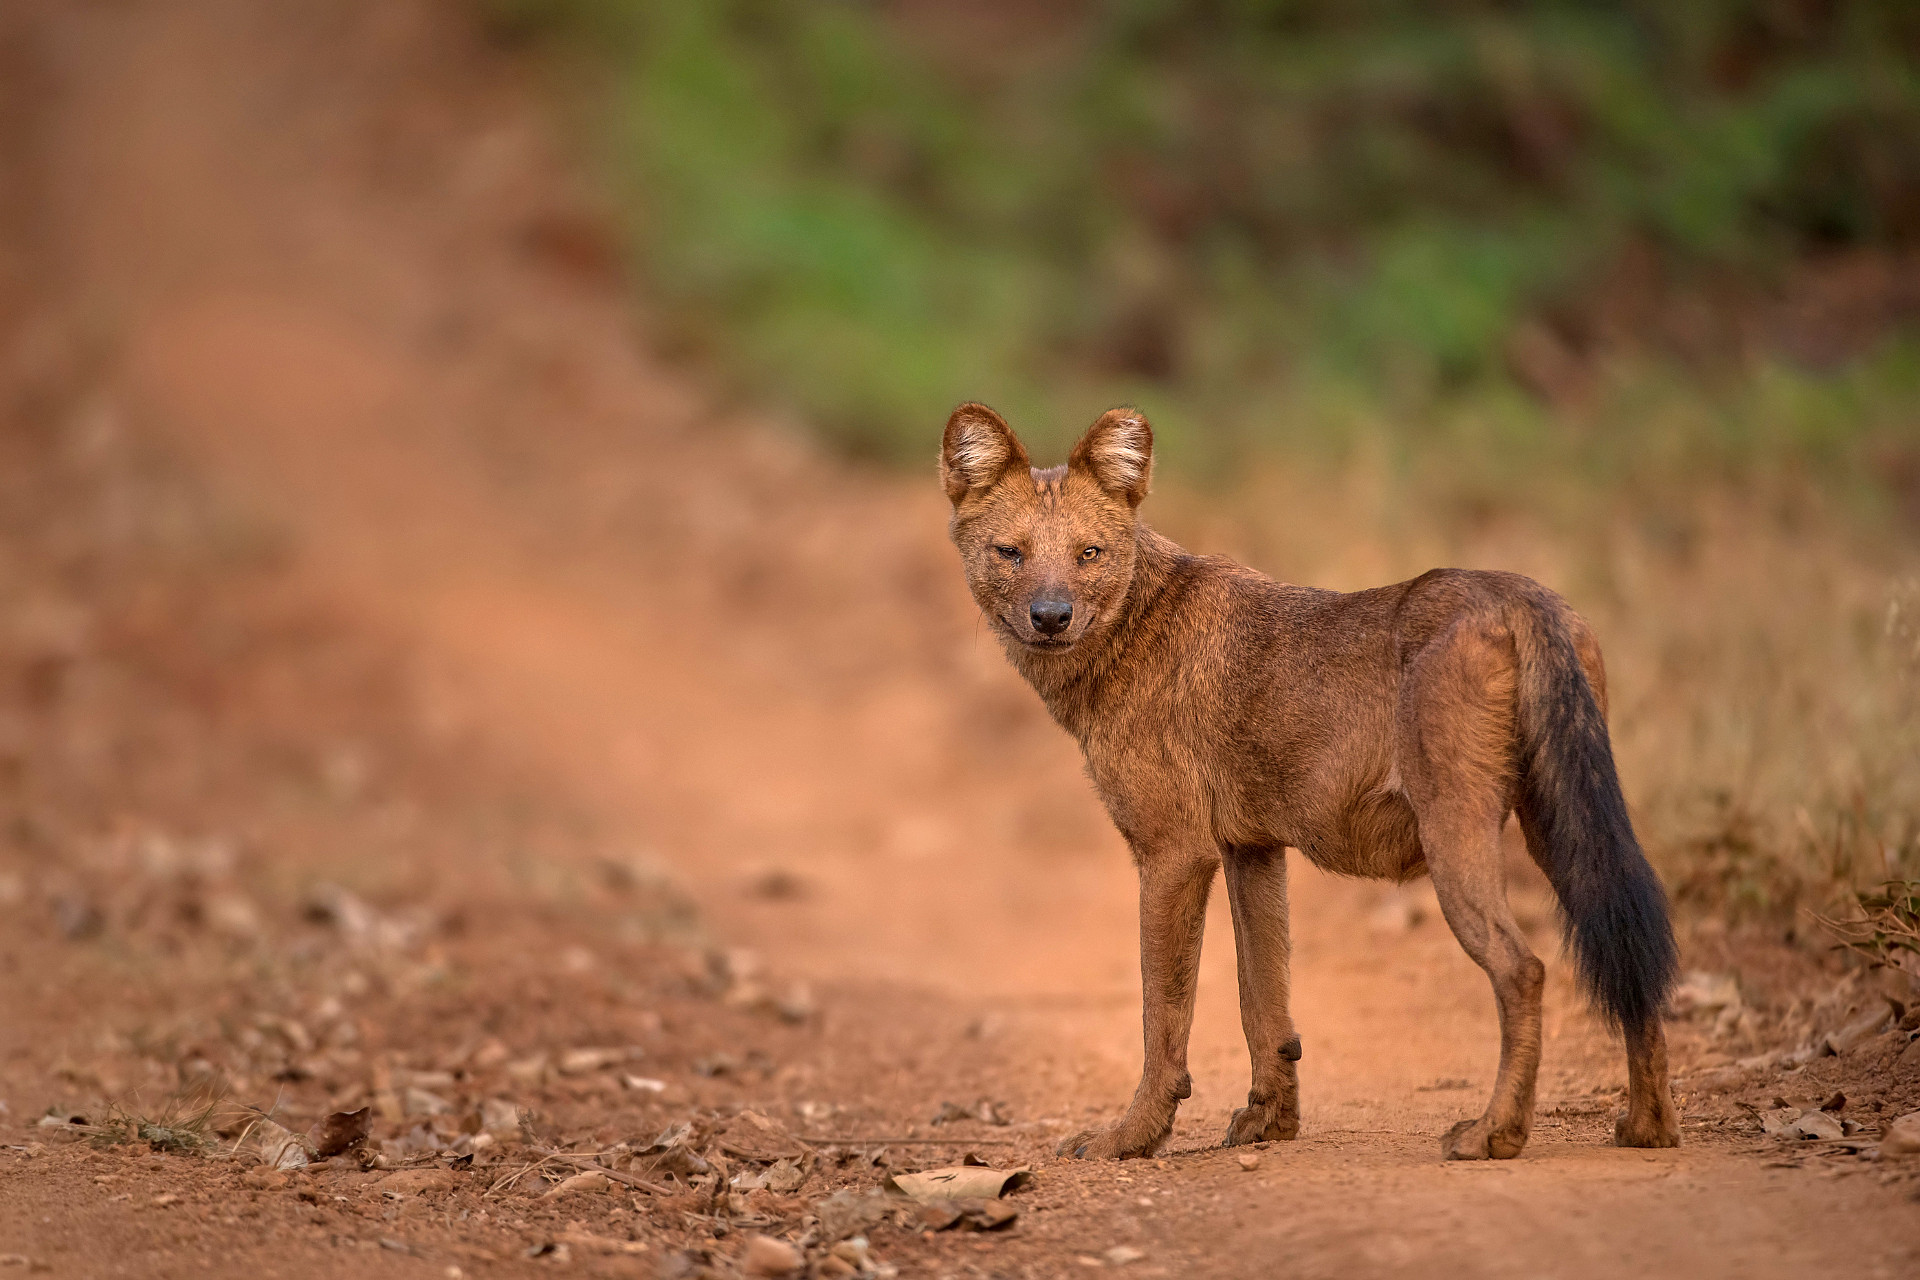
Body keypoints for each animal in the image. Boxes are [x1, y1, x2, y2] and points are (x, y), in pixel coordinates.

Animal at [944, 402, 1681, 1159]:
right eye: (1010, 553)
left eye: (1088, 554)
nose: (1050, 616)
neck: (1131, 629)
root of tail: (1521, 595)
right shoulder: (1251, 850)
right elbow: (1263, 1001)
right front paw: (1270, 1123)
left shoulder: (1175, 853)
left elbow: (1164, 1013)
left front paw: (1131, 1136)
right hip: (1560, 825)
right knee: (1634, 958)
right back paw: (1648, 1127)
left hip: (1456, 831)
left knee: (1523, 968)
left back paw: (1493, 1133)